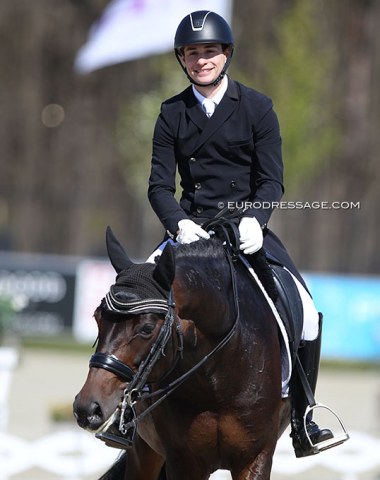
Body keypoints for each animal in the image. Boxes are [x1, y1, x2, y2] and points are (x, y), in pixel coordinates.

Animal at [72, 227, 290, 478]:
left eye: (147, 328)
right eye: (97, 317)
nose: (87, 408)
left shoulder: (256, 456)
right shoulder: (183, 460)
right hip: (143, 452)